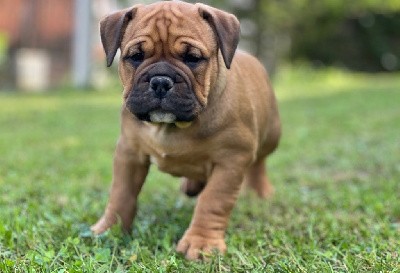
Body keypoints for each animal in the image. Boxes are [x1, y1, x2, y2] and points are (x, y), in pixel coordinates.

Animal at [92, 0, 282, 260]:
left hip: (271, 135)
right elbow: (121, 193)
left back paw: (261, 190)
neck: (172, 126)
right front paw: (109, 228)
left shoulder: (232, 159)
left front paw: (201, 242)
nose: (160, 81)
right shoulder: (129, 153)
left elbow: (213, 200)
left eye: (192, 58)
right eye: (136, 56)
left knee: (259, 162)